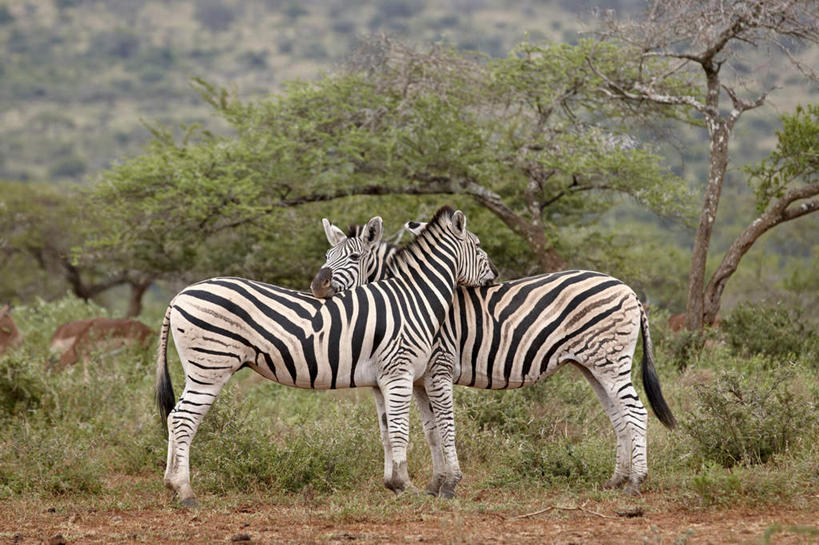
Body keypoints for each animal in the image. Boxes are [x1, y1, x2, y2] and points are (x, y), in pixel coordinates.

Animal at [156, 205, 496, 506]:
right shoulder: (400, 373)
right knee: (183, 419)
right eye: (479, 246)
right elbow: (401, 431)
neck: (412, 298)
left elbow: (386, 431)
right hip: (210, 365)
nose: (493, 276)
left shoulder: (380, 379)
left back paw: (171, 486)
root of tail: (178, 296)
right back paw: (185, 492)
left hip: (200, 367)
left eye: (354, 257)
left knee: (174, 417)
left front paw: (394, 484)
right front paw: (407, 487)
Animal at [310, 218, 676, 498]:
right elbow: (431, 431)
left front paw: (448, 484)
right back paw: (617, 480)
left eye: (354, 256)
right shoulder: (417, 380)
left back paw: (635, 483)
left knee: (636, 412)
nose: (317, 284)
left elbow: (445, 427)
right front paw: (434, 484)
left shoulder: (438, 368)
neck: (411, 298)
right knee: (619, 417)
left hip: (610, 362)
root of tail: (627, 289)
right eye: (327, 254)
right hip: (594, 366)